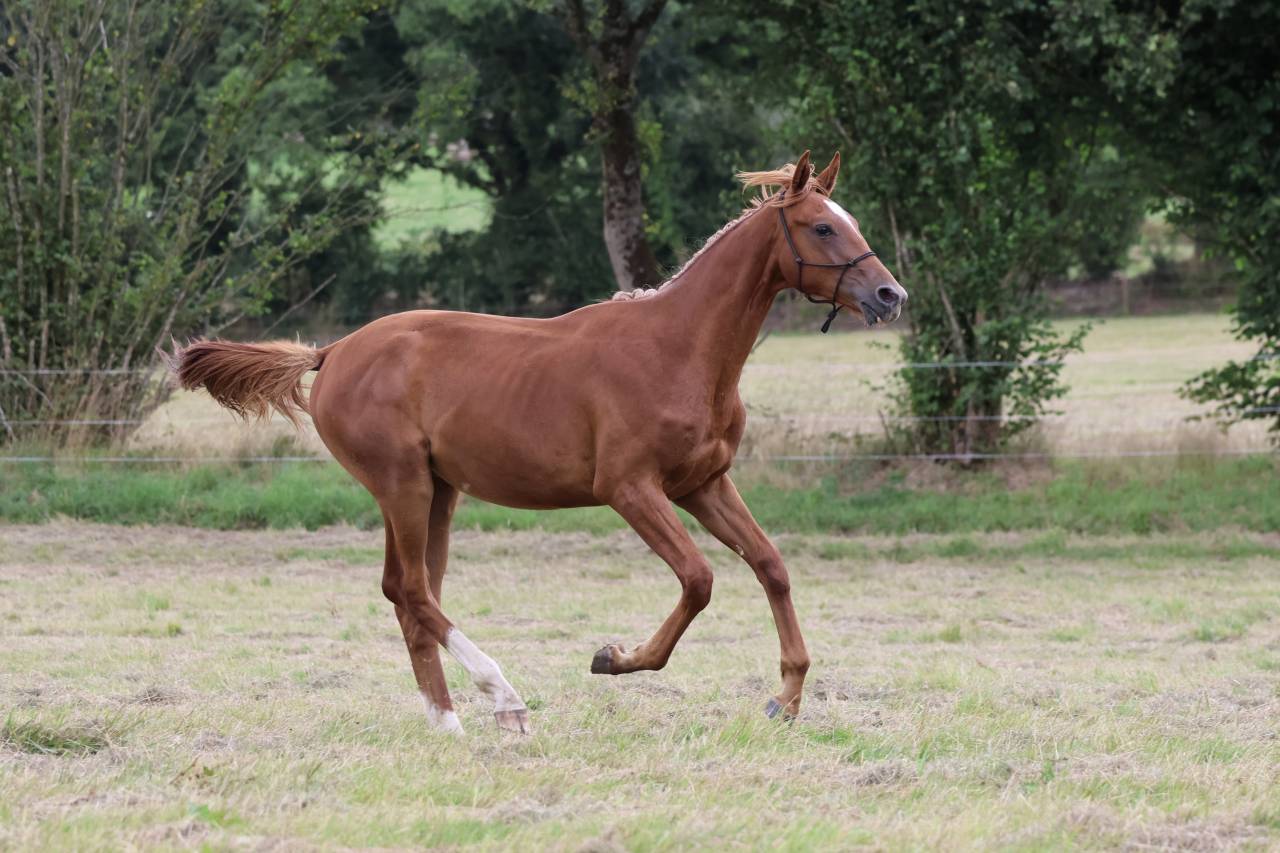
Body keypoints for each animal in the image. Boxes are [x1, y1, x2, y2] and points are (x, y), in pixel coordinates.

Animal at [172, 151, 908, 735]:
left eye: (851, 221)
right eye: (822, 226)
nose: (889, 293)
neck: (679, 349)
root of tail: (332, 352)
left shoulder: (704, 483)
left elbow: (771, 564)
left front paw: (785, 698)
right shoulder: (630, 489)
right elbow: (699, 580)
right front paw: (615, 658)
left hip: (437, 492)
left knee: (409, 594)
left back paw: (449, 721)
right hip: (402, 484)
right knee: (412, 590)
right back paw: (504, 698)